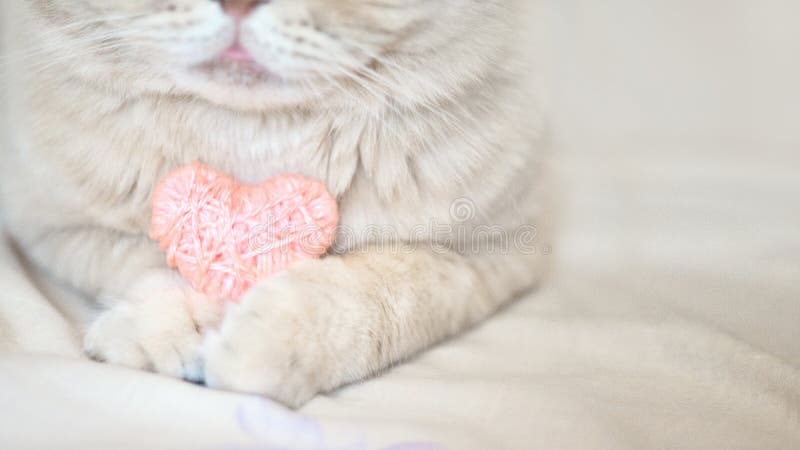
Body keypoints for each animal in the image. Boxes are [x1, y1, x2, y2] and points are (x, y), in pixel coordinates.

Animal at [0, 0, 548, 408]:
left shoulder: (496, 253)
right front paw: (172, 328)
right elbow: (137, 257)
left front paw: (258, 344)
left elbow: (386, 293)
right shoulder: (50, 223)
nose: (239, 3)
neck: (255, 140)